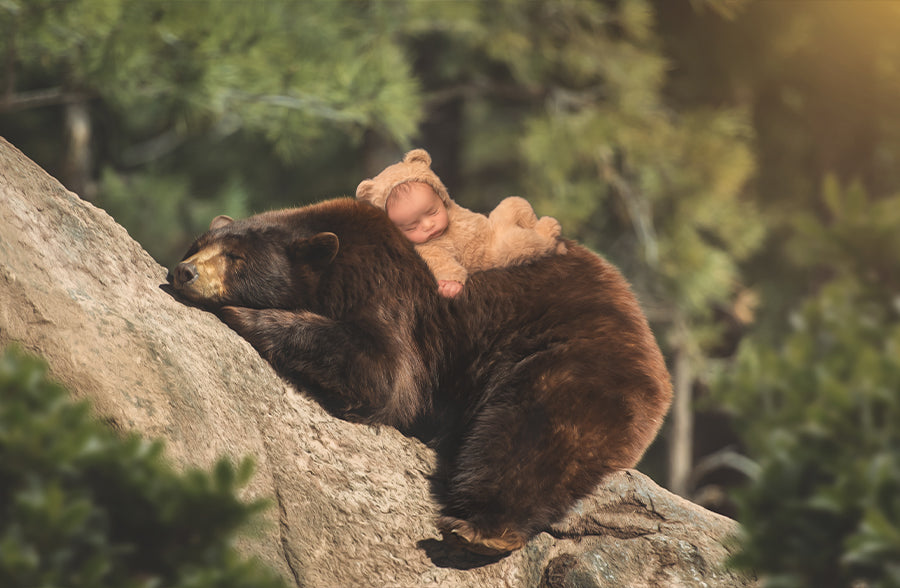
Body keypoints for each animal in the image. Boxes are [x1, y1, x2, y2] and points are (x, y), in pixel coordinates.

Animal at [169, 197, 672, 556]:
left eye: (235, 256)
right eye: (198, 245)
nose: (184, 271)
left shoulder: (392, 294)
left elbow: (385, 375)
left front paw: (246, 314)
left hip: (568, 359)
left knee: (528, 432)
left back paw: (482, 529)